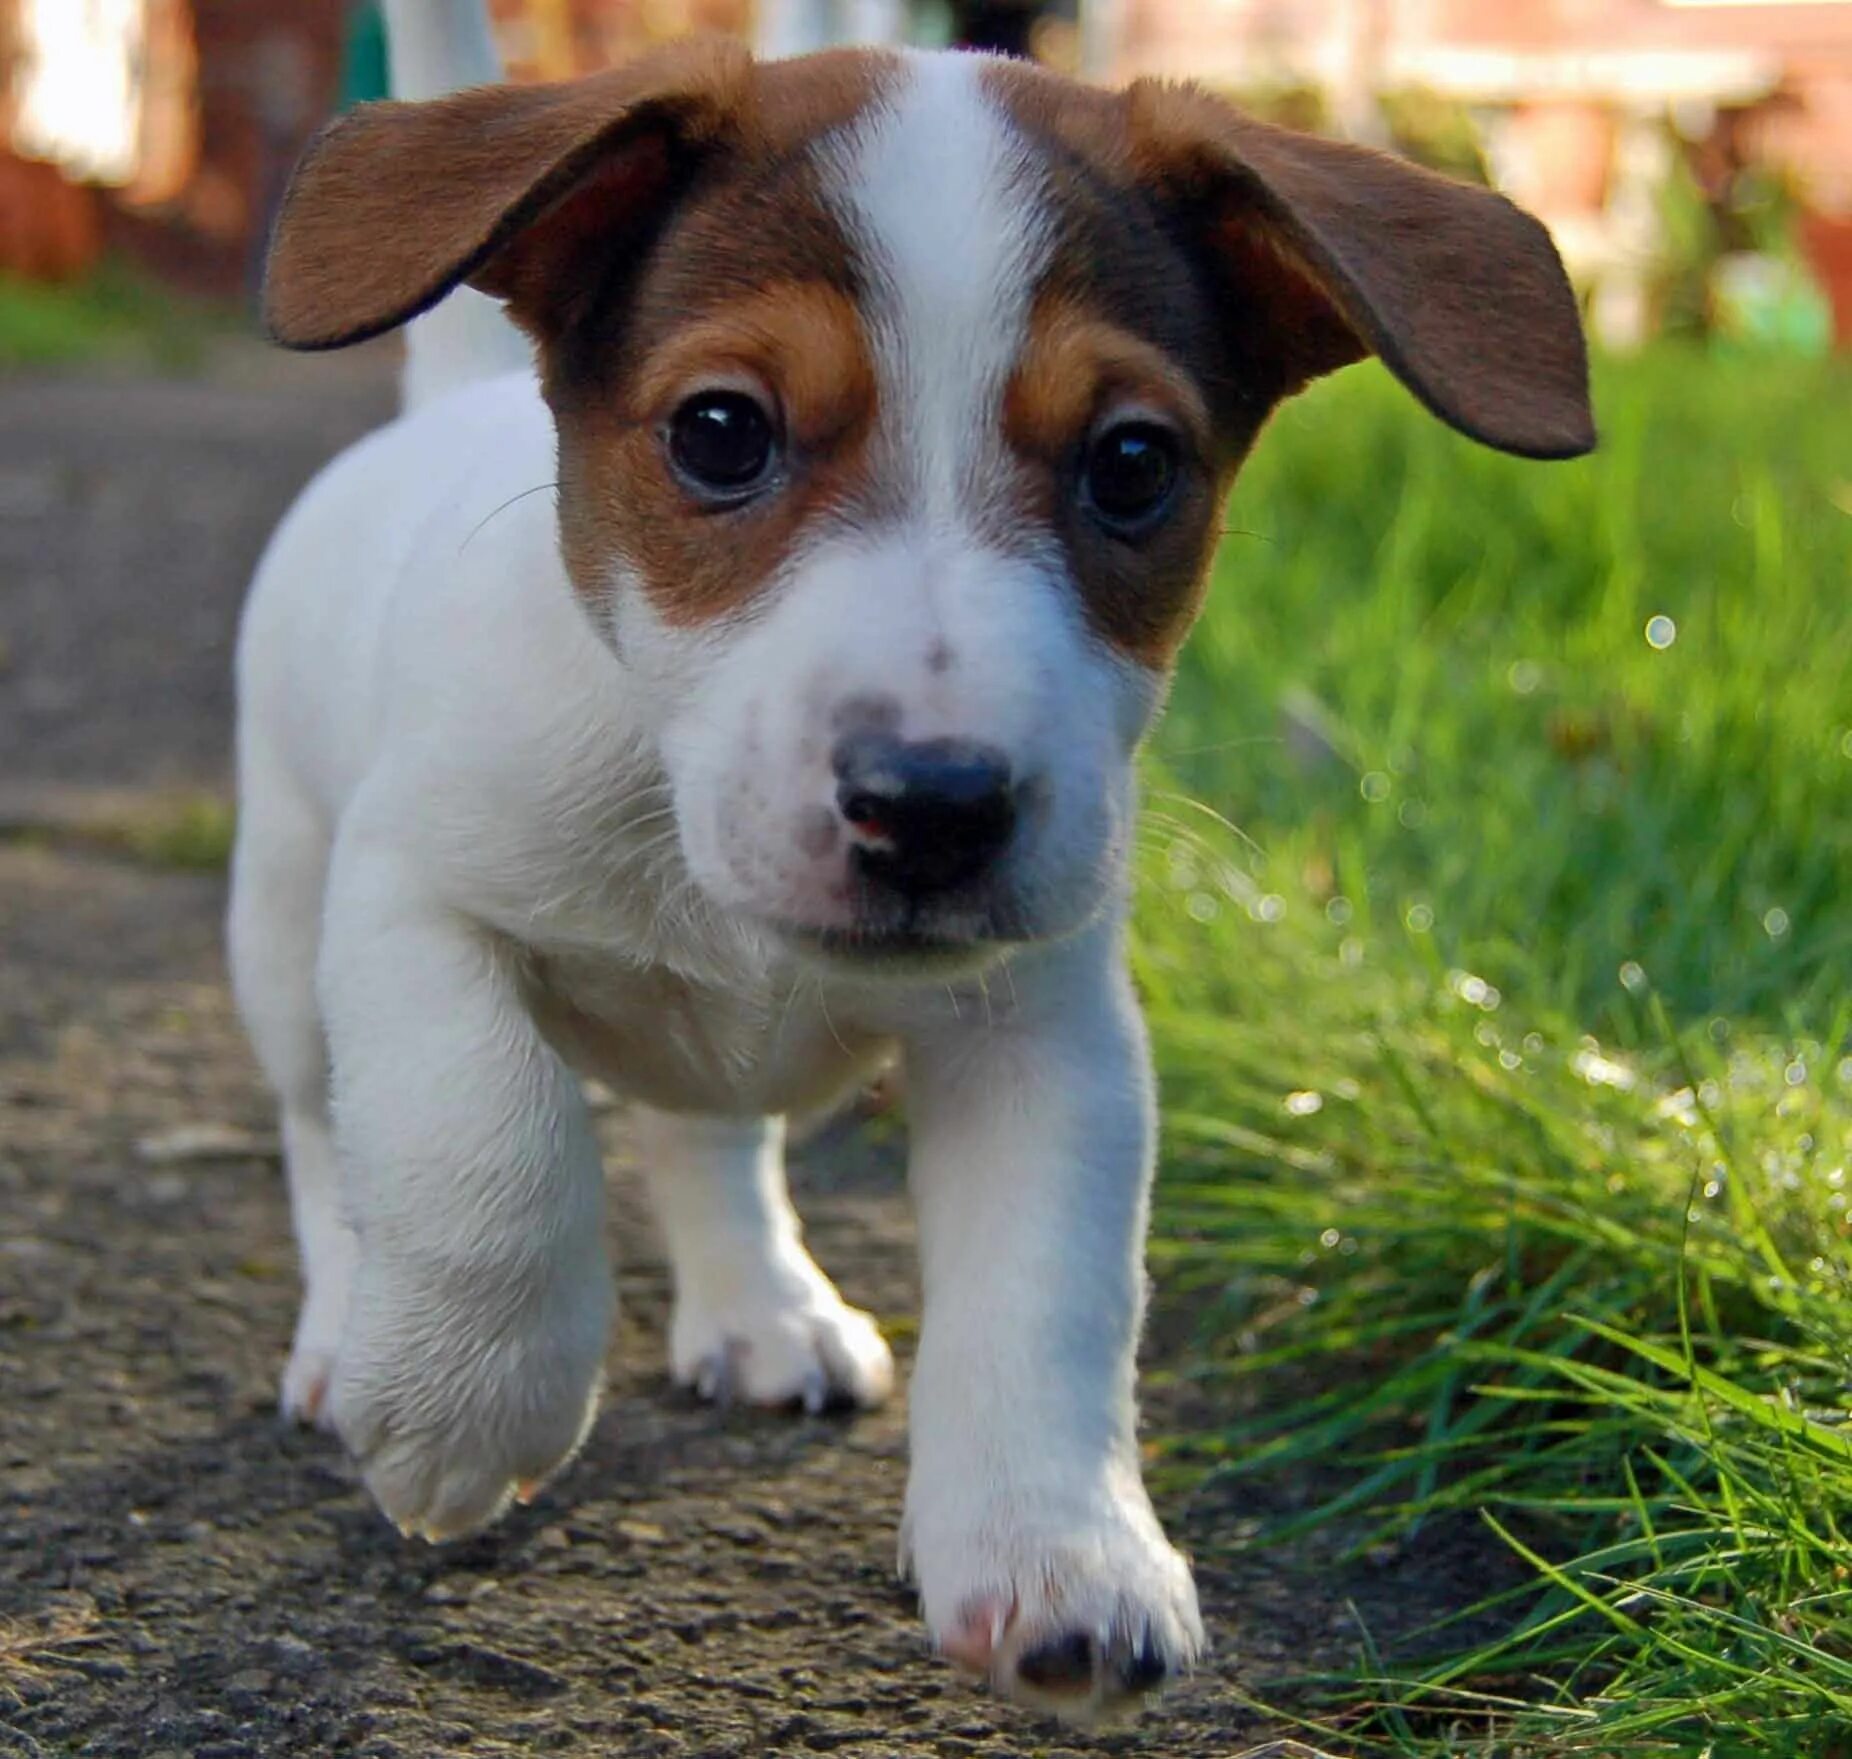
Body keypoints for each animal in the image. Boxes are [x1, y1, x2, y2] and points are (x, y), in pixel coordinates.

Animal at [231, 0, 1592, 1725]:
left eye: (1133, 463)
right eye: (720, 432)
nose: (933, 806)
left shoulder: (1053, 1042)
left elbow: (1051, 1295)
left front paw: (1061, 1544)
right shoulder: (414, 901)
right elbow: (485, 1139)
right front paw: (473, 1400)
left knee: (707, 1135)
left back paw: (763, 1306)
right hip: (283, 925)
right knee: (323, 1132)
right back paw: (351, 1323)